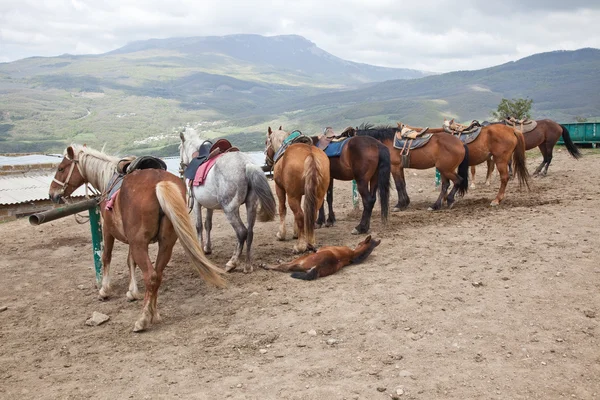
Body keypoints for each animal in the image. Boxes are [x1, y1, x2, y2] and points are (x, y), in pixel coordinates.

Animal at [48, 144, 225, 332]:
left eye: (61, 168)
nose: (52, 194)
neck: (108, 178)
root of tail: (159, 183)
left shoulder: (109, 231)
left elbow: (106, 257)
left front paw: (105, 290)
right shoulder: (132, 240)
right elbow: (130, 261)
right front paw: (132, 292)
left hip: (140, 243)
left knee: (151, 276)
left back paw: (143, 319)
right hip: (165, 244)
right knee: (157, 275)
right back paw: (154, 313)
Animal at [179, 128, 276, 272]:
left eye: (179, 147)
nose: (181, 168)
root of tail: (246, 164)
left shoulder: (196, 203)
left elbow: (199, 226)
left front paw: (200, 250)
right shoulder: (209, 206)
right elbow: (208, 224)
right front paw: (207, 248)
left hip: (229, 209)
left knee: (242, 232)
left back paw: (232, 262)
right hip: (251, 205)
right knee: (250, 233)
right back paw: (248, 265)